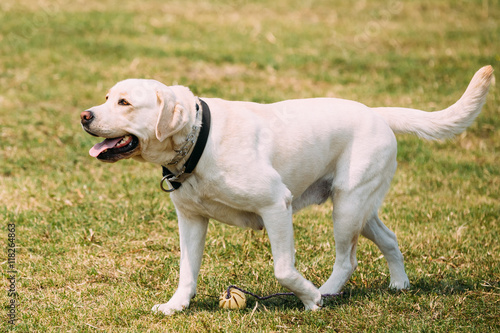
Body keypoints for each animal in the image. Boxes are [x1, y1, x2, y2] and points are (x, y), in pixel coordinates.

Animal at [81, 65, 492, 314]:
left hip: (347, 209)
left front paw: (308, 298)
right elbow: (187, 271)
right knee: (389, 238)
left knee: (347, 259)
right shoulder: (192, 219)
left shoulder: (276, 205)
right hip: (360, 209)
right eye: (107, 97)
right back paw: (399, 285)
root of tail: (377, 113)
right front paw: (175, 306)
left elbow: (283, 269)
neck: (200, 139)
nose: (84, 116)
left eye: (124, 102)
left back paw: (324, 292)